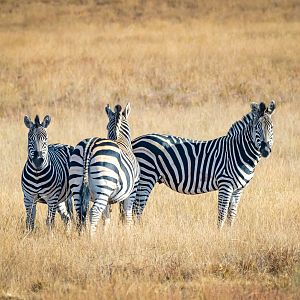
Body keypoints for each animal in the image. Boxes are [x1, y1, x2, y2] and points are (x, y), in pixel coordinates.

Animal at [69, 104, 141, 236]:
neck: (120, 140)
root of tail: (90, 145)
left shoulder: (108, 199)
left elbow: (106, 218)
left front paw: (105, 234)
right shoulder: (132, 189)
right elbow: (127, 214)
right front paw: (129, 232)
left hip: (76, 184)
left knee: (80, 212)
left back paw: (81, 236)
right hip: (104, 185)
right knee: (94, 212)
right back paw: (92, 238)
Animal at [130, 100, 276, 227]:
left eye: (272, 128)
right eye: (257, 127)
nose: (266, 150)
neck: (238, 151)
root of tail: (136, 140)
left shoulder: (238, 189)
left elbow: (232, 215)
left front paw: (229, 234)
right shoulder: (225, 184)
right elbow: (222, 214)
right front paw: (219, 235)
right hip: (146, 176)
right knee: (137, 208)